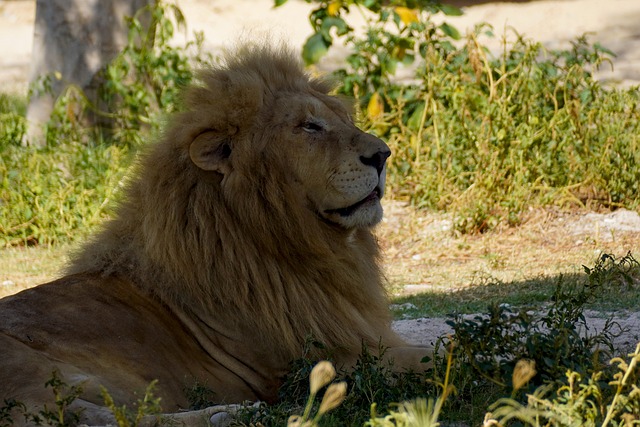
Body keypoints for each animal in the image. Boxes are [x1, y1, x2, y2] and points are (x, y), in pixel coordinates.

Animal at [1, 43, 430, 424]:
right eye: (309, 126)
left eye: (344, 120)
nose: (383, 155)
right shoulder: (317, 361)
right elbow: (431, 354)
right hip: (44, 376)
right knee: (102, 419)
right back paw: (234, 414)